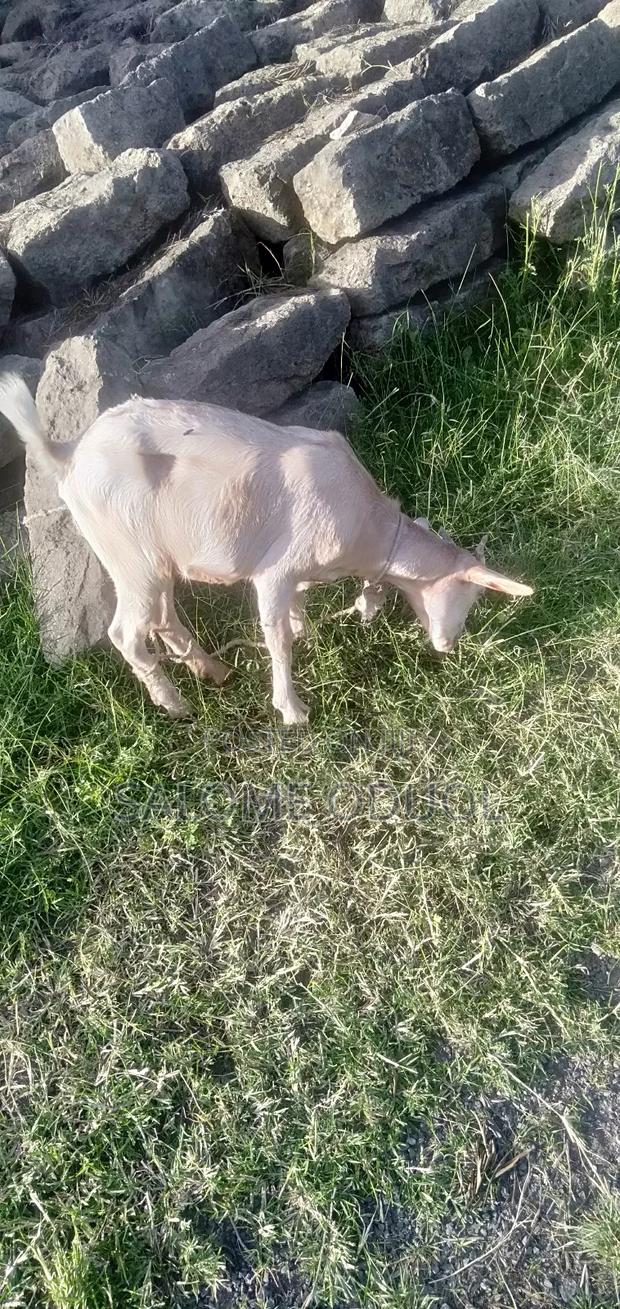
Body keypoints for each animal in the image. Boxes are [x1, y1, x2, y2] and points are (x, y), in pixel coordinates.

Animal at [0, 376, 533, 724]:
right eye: (471, 595)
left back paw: (212, 669)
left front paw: (307, 631)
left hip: (156, 555)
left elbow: (294, 616)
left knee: (164, 617)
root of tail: (67, 454)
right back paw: (173, 702)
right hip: (130, 553)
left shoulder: (298, 574)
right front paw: (292, 710)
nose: (448, 646)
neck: (370, 528)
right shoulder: (276, 571)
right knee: (126, 632)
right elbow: (277, 639)